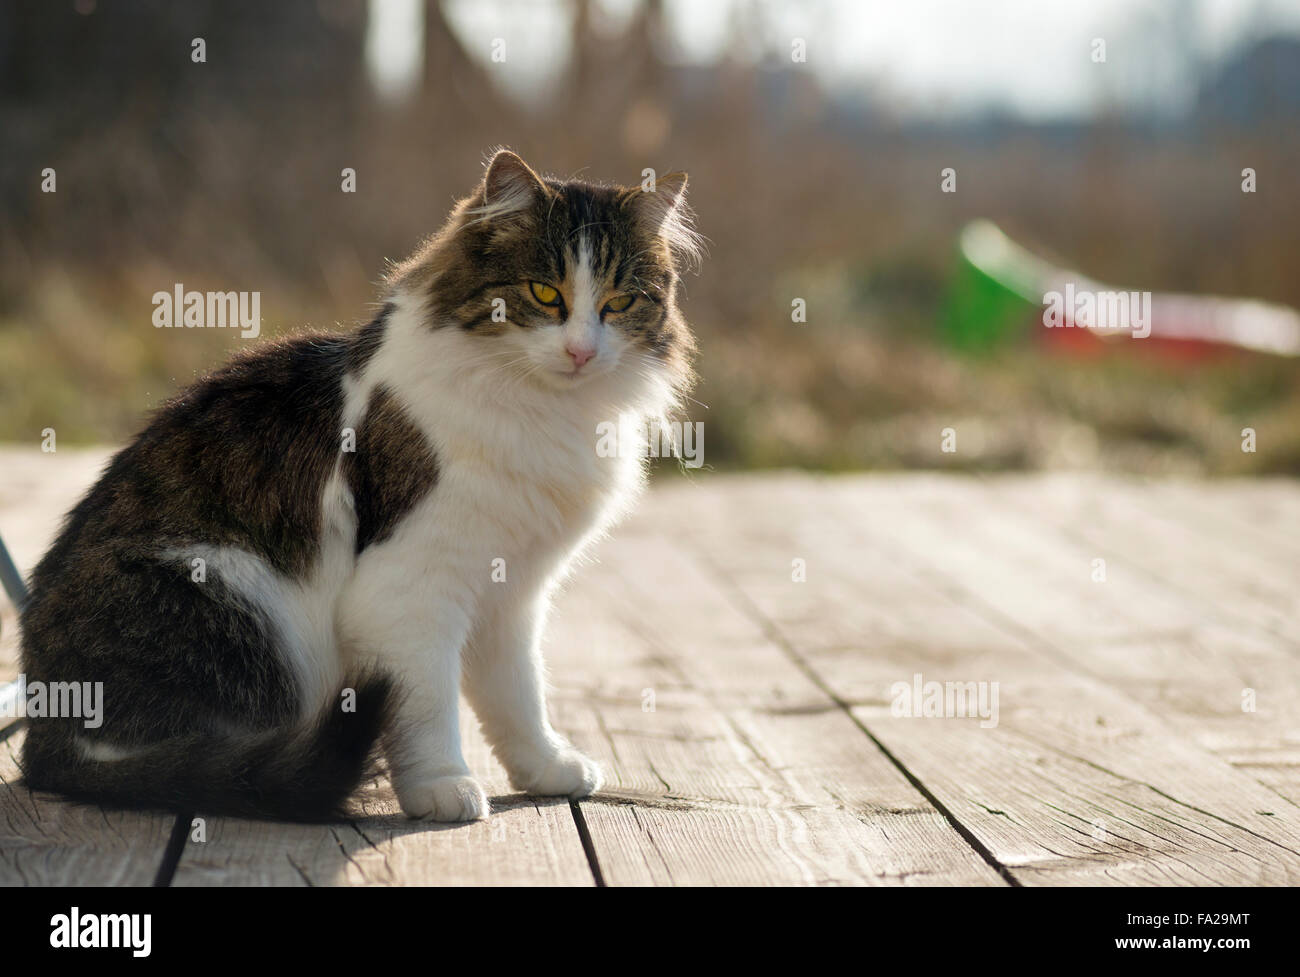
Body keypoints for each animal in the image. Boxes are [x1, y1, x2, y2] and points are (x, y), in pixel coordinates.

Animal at [17, 148, 702, 821]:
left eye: (619, 302)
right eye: (545, 292)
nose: (582, 352)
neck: (543, 411)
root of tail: (43, 732)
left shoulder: (511, 592)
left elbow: (519, 695)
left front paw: (546, 768)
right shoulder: (409, 588)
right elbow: (427, 705)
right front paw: (442, 787)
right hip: (236, 595)